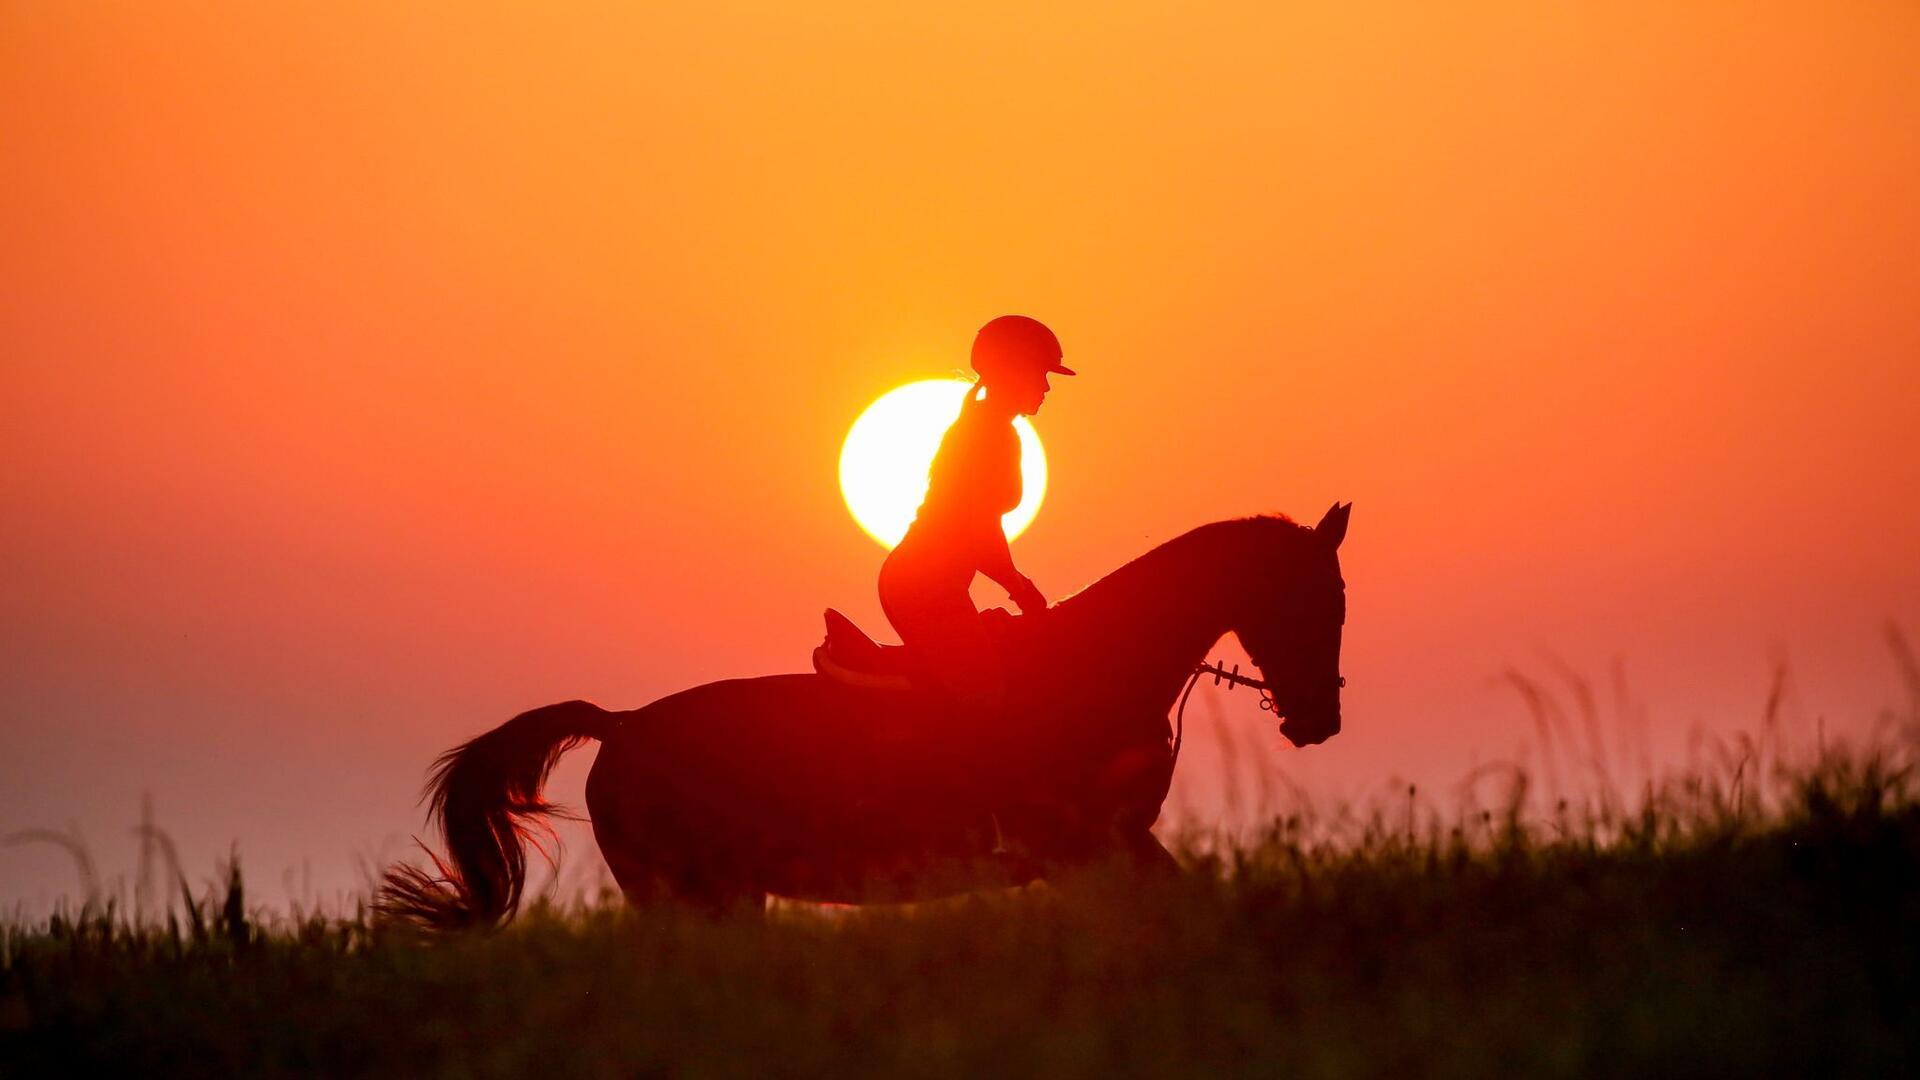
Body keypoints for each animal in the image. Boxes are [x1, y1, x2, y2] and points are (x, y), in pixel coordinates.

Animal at [378, 503, 1351, 926]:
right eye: (1315, 599)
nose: (1318, 723)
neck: (1098, 664)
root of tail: (621, 725)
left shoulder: (1115, 848)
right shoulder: (1087, 849)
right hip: (686, 897)